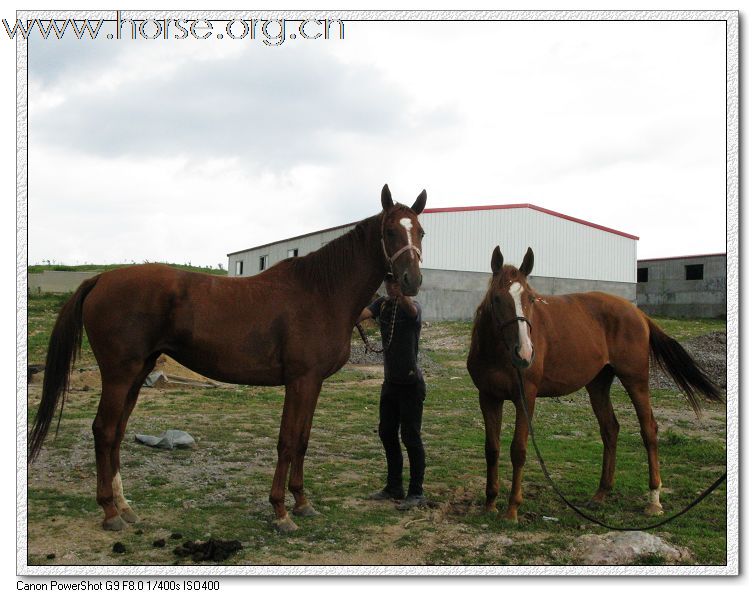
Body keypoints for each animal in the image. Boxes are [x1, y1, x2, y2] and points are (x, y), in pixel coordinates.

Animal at [29, 184, 428, 532]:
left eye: (421, 231)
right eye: (390, 232)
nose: (411, 281)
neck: (320, 292)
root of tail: (101, 279)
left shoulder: (312, 384)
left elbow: (302, 440)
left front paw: (302, 503)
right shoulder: (300, 381)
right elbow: (287, 441)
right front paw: (281, 512)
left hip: (137, 373)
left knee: (116, 434)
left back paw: (125, 507)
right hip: (118, 374)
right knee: (104, 430)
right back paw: (110, 513)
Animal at [470, 247, 724, 520]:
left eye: (531, 298)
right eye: (497, 298)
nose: (525, 353)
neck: (498, 352)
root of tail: (638, 313)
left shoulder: (524, 397)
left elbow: (518, 450)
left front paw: (512, 509)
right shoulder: (488, 397)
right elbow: (491, 449)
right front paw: (490, 503)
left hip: (636, 380)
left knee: (648, 430)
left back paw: (654, 499)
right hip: (598, 384)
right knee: (610, 429)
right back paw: (601, 493)